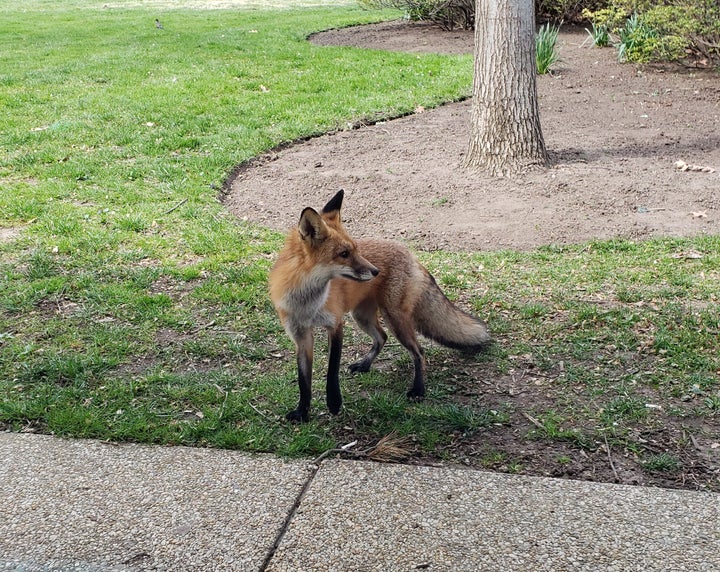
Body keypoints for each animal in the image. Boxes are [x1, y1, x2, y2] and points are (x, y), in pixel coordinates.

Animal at [268, 190, 492, 422]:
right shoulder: (301, 335)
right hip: (362, 316)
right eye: (344, 254)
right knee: (382, 337)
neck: (306, 303)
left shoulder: (336, 324)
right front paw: (302, 412)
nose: (376, 271)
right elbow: (303, 381)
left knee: (419, 351)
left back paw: (418, 390)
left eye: (355, 250)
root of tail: (410, 253)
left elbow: (332, 370)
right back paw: (366, 364)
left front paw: (334, 402)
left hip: (395, 319)